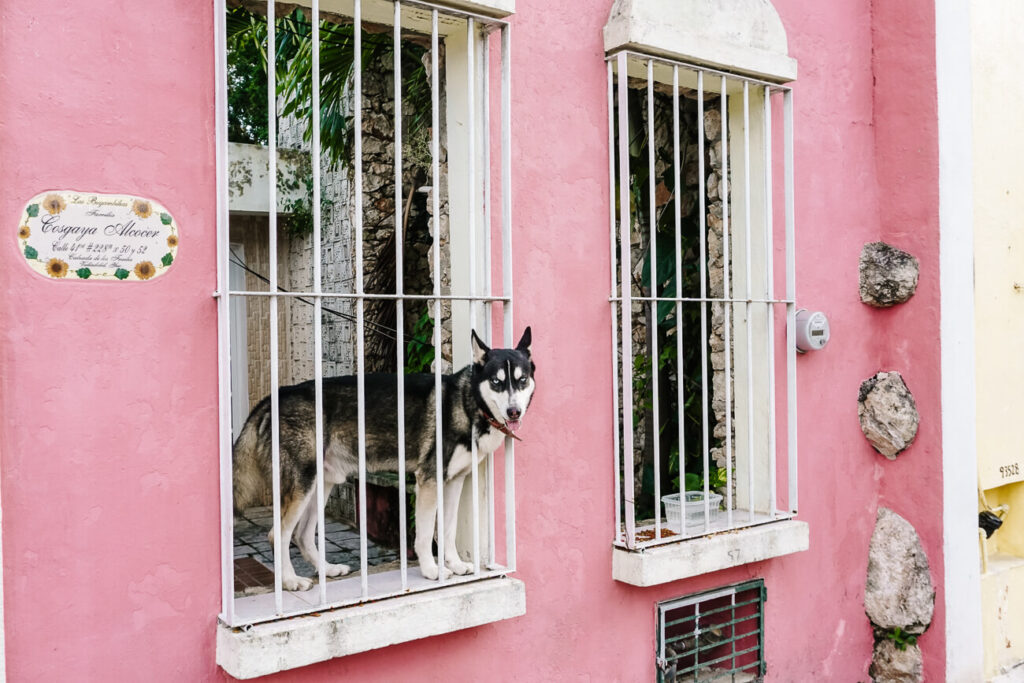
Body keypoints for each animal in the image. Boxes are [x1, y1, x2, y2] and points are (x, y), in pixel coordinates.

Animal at [233, 327, 536, 589]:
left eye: (522, 380)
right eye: (496, 382)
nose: (513, 412)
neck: (465, 401)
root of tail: (276, 396)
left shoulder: (453, 482)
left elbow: (447, 531)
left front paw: (456, 564)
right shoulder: (428, 481)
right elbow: (425, 535)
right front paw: (431, 570)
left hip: (321, 484)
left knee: (302, 535)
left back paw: (328, 570)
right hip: (301, 486)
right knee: (278, 535)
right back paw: (290, 581)